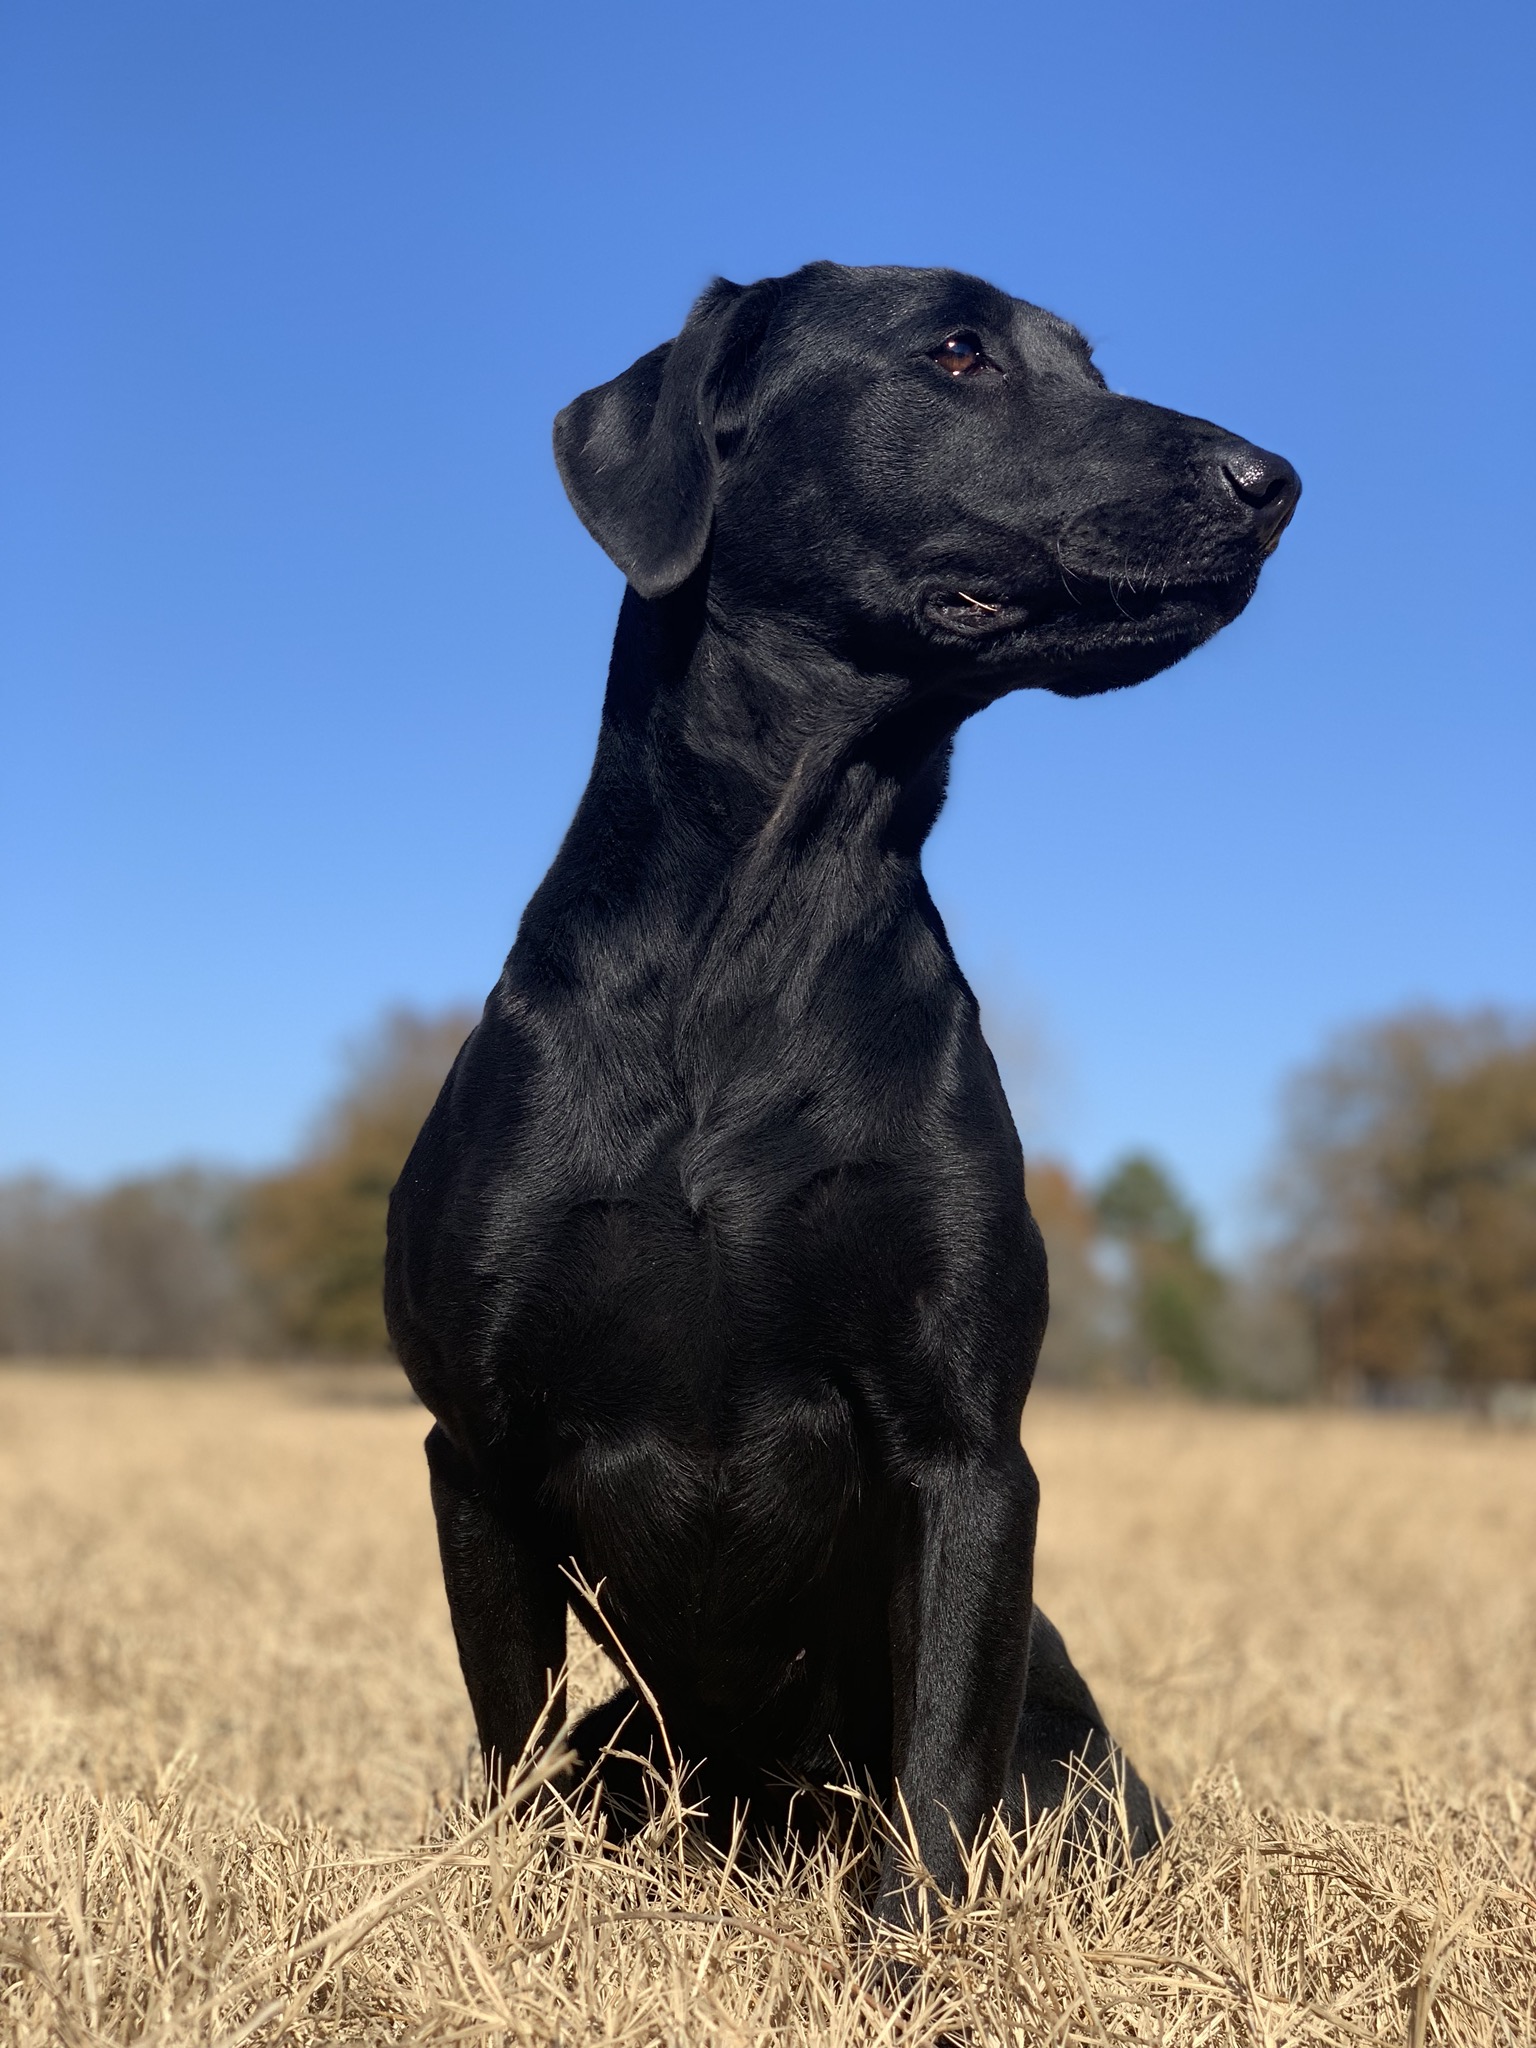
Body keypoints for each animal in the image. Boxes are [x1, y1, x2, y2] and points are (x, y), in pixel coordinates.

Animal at [385, 264, 1302, 1908]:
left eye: (1094, 364)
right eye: (958, 350)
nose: (1274, 482)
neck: (760, 916)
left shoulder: (964, 1445)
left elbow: (938, 1771)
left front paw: (909, 1946)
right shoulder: (471, 1443)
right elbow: (512, 1747)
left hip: (1079, 1767)